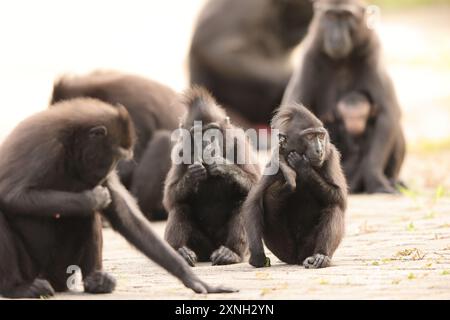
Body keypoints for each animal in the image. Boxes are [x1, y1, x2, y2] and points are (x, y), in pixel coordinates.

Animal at [0, 99, 236, 298]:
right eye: (113, 156)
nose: (109, 171)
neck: (72, 142)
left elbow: (124, 215)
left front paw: (192, 278)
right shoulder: (46, 148)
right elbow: (12, 195)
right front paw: (91, 198)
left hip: (61, 269)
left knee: (86, 217)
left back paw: (95, 280)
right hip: (34, 269)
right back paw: (17, 287)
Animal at [164, 87, 260, 264]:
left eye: (211, 131)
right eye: (197, 133)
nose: (205, 143)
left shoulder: (239, 144)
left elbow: (255, 186)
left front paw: (222, 166)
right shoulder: (180, 151)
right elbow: (170, 198)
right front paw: (193, 175)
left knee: (242, 202)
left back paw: (231, 252)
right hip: (202, 246)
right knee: (181, 206)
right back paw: (180, 252)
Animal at [244, 104, 346, 268]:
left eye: (320, 136)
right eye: (310, 136)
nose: (319, 150)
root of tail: (297, 259)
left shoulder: (330, 155)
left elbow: (340, 197)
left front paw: (303, 167)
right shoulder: (275, 161)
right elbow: (253, 202)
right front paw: (257, 256)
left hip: (308, 247)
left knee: (334, 206)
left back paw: (321, 256)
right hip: (283, 249)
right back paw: (288, 178)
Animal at [284, 0, 406, 192]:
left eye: (346, 16)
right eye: (331, 16)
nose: (336, 36)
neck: (342, 59)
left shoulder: (373, 54)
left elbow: (388, 114)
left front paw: (376, 179)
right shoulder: (309, 57)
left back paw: (392, 180)